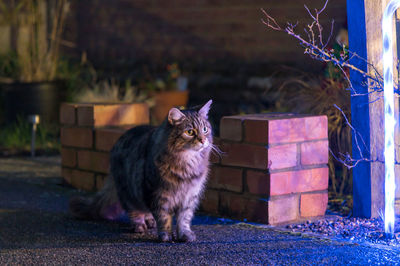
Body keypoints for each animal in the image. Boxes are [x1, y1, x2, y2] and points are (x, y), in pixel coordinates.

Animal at [70, 99, 217, 241]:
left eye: (205, 129)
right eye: (190, 132)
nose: (203, 140)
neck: (187, 164)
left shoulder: (189, 197)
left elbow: (184, 220)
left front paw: (185, 235)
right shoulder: (157, 194)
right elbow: (164, 218)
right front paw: (166, 236)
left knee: (146, 210)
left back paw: (150, 221)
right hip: (129, 192)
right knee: (135, 211)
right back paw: (140, 226)